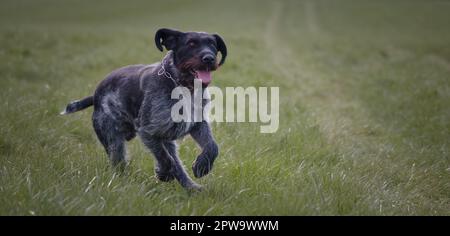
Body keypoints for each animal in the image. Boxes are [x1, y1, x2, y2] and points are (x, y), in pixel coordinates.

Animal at [61, 28, 227, 190]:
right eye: (191, 44)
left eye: (212, 44)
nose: (209, 58)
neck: (184, 86)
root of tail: (95, 96)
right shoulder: (148, 132)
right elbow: (166, 159)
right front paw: (164, 173)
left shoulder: (197, 124)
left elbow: (212, 147)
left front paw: (202, 166)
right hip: (113, 141)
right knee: (120, 164)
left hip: (166, 141)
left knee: (177, 163)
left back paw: (192, 188)